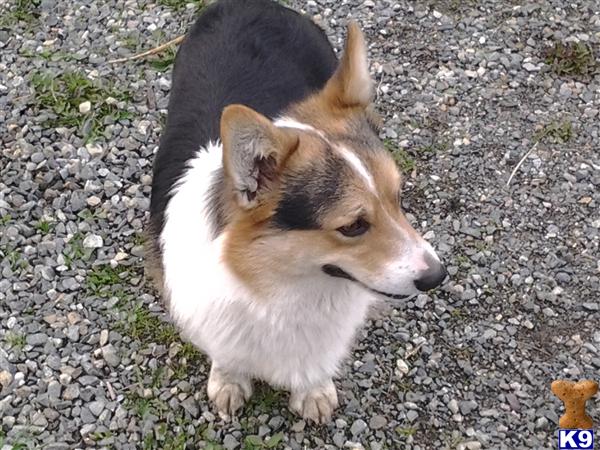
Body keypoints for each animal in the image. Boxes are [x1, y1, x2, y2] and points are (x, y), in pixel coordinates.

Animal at [145, 0, 446, 424]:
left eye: (399, 198)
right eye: (353, 226)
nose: (438, 276)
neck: (281, 282)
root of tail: (249, 4)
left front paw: (313, 391)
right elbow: (227, 356)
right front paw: (228, 382)